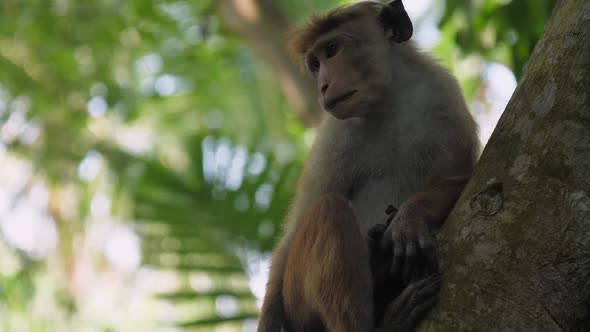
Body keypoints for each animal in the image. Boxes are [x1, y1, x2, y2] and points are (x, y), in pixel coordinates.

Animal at [260, 1, 480, 330]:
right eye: (315, 64)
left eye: (332, 50)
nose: (323, 86)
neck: (388, 104)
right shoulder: (335, 133)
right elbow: (293, 234)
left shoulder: (443, 95)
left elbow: (465, 178)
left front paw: (410, 215)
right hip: (297, 305)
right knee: (328, 211)